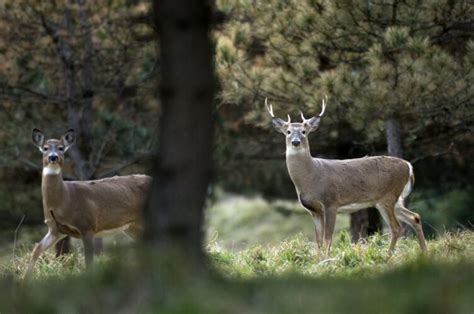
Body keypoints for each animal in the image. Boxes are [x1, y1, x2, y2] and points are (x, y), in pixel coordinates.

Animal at [24, 129, 152, 278]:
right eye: (45, 148)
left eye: (61, 148)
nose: (53, 157)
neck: (64, 199)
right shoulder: (55, 230)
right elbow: (36, 249)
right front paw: (24, 280)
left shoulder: (87, 225)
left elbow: (89, 262)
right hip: (132, 226)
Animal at [264, 97, 428, 256]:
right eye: (288, 132)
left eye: (304, 131)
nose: (296, 142)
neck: (310, 177)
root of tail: (409, 166)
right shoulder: (314, 210)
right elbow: (318, 241)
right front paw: (317, 261)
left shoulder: (331, 202)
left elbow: (327, 239)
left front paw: (326, 261)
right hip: (394, 200)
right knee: (415, 217)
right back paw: (424, 253)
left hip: (387, 196)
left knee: (397, 228)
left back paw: (388, 257)